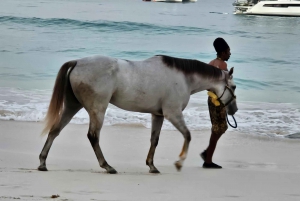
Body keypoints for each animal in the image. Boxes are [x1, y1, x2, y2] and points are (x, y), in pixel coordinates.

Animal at [38, 54, 238, 174]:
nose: (234, 110)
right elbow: (187, 135)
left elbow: (154, 140)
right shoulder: (172, 114)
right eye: (234, 87)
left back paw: (42, 162)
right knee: (93, 136)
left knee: (55, 131)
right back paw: (107, 166)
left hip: (72, 106)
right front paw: (179, 162)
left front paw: (152, 165)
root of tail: (77, 62)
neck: (183, 78)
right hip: (98, 110)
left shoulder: (158, 115)